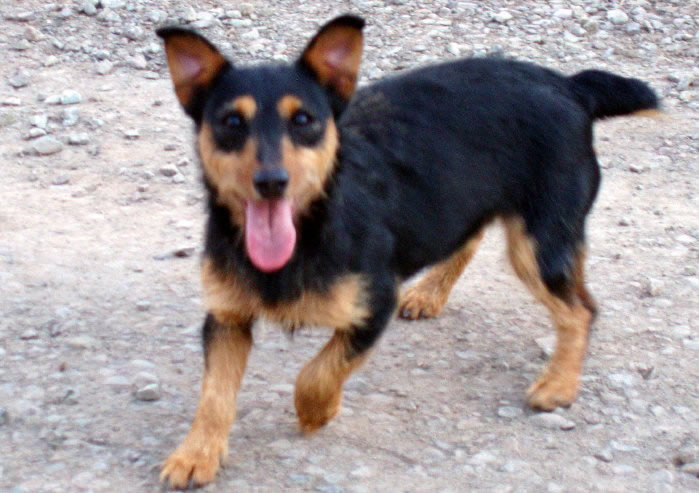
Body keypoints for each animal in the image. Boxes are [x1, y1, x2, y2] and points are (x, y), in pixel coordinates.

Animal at [154, 13, 660, 486]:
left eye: (304, 121)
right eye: (230, 123)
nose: (272, 182)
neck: (311, 229)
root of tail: (569, 86)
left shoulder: (373, 304)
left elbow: (316, 374)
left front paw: (315, 413)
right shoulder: (226, 318)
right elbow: (214, 394)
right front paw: (196, 454)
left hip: (539, 243)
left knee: (581, 309)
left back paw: (558, 384)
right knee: (475, 238)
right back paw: (431, 292)